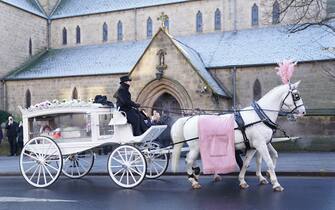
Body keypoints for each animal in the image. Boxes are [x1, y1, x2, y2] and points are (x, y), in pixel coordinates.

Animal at [172, 81, 306, 192]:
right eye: (296, 96)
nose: (303, 112)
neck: (259, 116)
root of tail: (189, 119)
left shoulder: (253, 146)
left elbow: (247, 163)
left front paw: (243, 180)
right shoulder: (261, 144)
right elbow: (268, 162)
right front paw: (276, 183)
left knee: (192, 159)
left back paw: (197, 174)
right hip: (196, 147)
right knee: (188, 160)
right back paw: (193, 180)